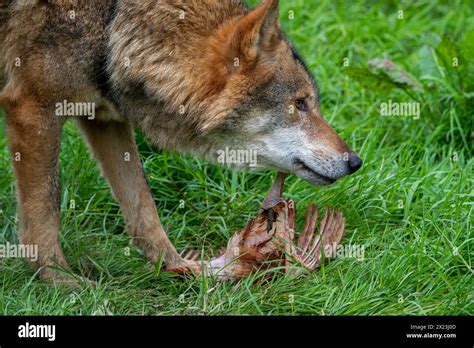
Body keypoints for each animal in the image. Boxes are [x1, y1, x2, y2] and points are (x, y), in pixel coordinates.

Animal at [0, 0, 362, 282]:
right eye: (300, 103)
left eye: (310, 102)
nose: (355, 162)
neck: (112, 25)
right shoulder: (32, 107)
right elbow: (44, 211)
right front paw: (60, 281)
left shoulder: (104, 118)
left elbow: (143, 208)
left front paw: (178, 267)